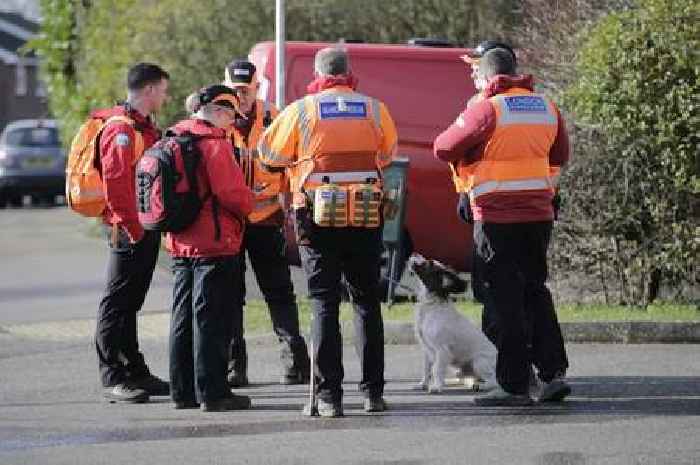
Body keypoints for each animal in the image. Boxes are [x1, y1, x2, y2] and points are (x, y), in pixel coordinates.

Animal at [408, 254, 500, 392]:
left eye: (429, 263)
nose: (414, 253)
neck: (432, 304)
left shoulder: (442, 350)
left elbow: (436, 369)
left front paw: (437, 387)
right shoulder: (426, 349)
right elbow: (426, 369)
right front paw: (422, 384)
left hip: (479, 362)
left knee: (494, 382)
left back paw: (481, 386)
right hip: (461, 371)